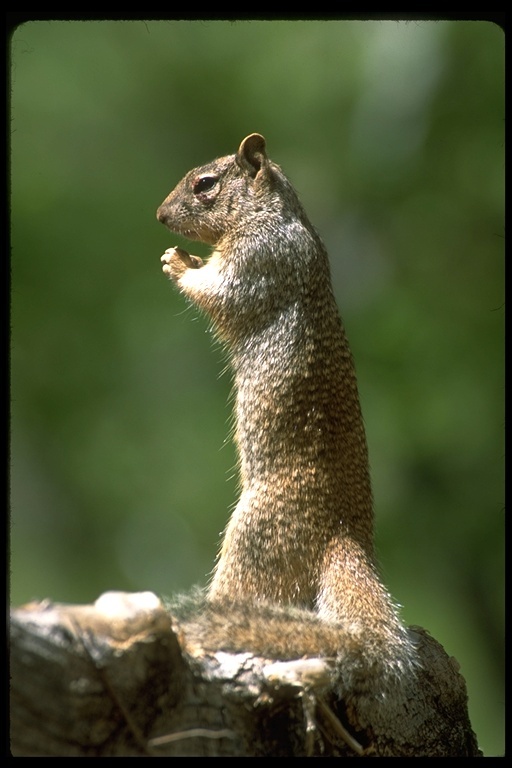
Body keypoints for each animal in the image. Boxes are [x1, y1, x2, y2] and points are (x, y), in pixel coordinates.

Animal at [157, 134, 420, 728]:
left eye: (205, 184)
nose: (159, 216)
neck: (273, 214)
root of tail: (345, 537)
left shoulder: (258, 261)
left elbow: (219, 290)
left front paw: (179, 262)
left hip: (253, 537)